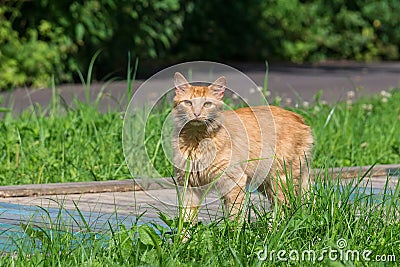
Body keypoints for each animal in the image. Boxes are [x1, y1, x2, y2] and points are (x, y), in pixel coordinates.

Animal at [172, 72, 312, 221]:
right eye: (188, 103)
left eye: (207, 104)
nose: (196, 114)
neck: (196, 140)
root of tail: (298, 117)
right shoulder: (188, 185)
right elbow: (186, 219)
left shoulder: (234, 180)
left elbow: (235, 216)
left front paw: (233, 228)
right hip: (266, 182)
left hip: (281, 178)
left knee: (287, 207)